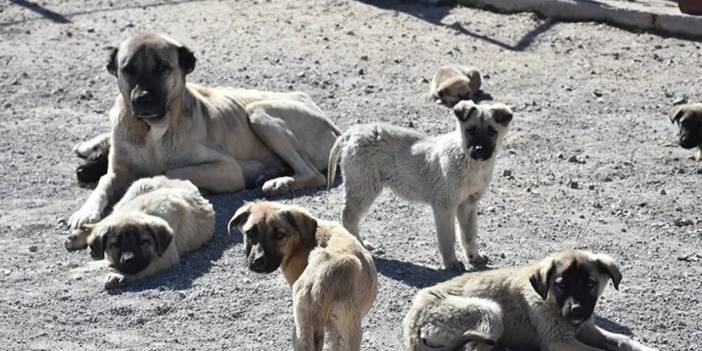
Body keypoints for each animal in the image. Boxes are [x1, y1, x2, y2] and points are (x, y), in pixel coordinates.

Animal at [67, 33, 342, 245]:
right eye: (128, 69)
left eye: (162, 67)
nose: (141, 99)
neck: (152, 130)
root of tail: (331, 124)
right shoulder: (116, 172)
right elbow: (102, 184)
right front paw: (85, 212)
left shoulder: (227, 169)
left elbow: (169, 171)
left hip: (257, 112)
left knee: (313, 173)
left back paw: (280, 181)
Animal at [72, 177, 216, 290]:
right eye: (116, 244)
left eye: (143, 242)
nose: (129, 260)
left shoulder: (165, 256)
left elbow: (144, 268)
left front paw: (119, 275)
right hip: (136, 189)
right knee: (104, 219)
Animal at [328, 100, 516, 270]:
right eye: (470, 130)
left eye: (492, 132)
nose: (478, 150)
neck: (469, 161)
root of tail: (352, 133)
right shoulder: (444, 207)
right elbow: (448, 238)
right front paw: (452, 263)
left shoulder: (468, 205)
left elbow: (469, 235)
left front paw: (474, 257)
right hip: (364, 187)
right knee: (348, 216)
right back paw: (358, 245)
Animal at [404, 250, 656, 351]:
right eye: (561, 284)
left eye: (590, 284)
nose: (576, 310)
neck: (551, 302)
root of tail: (411, 324)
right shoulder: (559, 341)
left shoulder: (586, 329)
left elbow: (622, 340)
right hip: (489, 311)